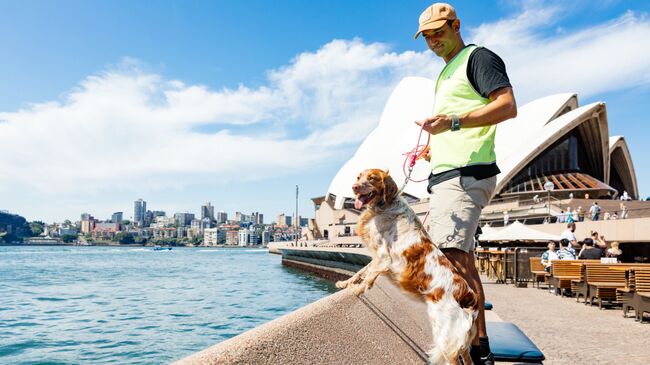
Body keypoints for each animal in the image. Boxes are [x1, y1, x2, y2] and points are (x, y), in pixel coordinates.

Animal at [336, 168, 478, 364]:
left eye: (372, 178)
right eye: (359, 177)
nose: (354, 187)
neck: (383, 207)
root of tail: (468, 294)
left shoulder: (383, 256)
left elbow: (368, 277)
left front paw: (356, 290)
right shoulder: (377, 257)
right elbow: (361, 271)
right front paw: (345, 283)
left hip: (445, 338)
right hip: (457, 342)